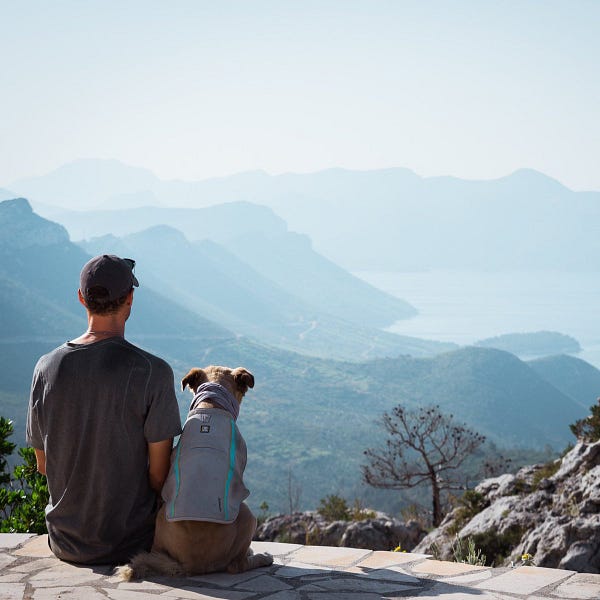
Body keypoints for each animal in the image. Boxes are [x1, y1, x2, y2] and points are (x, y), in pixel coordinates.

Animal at [116, 364, 274, 580]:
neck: (211, 406)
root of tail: (190, 565)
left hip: (161, 519)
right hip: (247, 515)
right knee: (236, 565)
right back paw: (262, 557)